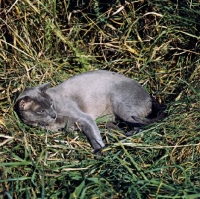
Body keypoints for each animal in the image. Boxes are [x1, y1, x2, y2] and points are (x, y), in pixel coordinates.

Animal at [14, 69, 166, 152]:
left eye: (51, 103)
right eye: (41, 111)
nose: (53, 114)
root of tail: (149, 95)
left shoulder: (85, 118)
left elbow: (94, 137)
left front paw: (100, 151)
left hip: (120, 106)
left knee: (143, 124)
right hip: (110, 119)